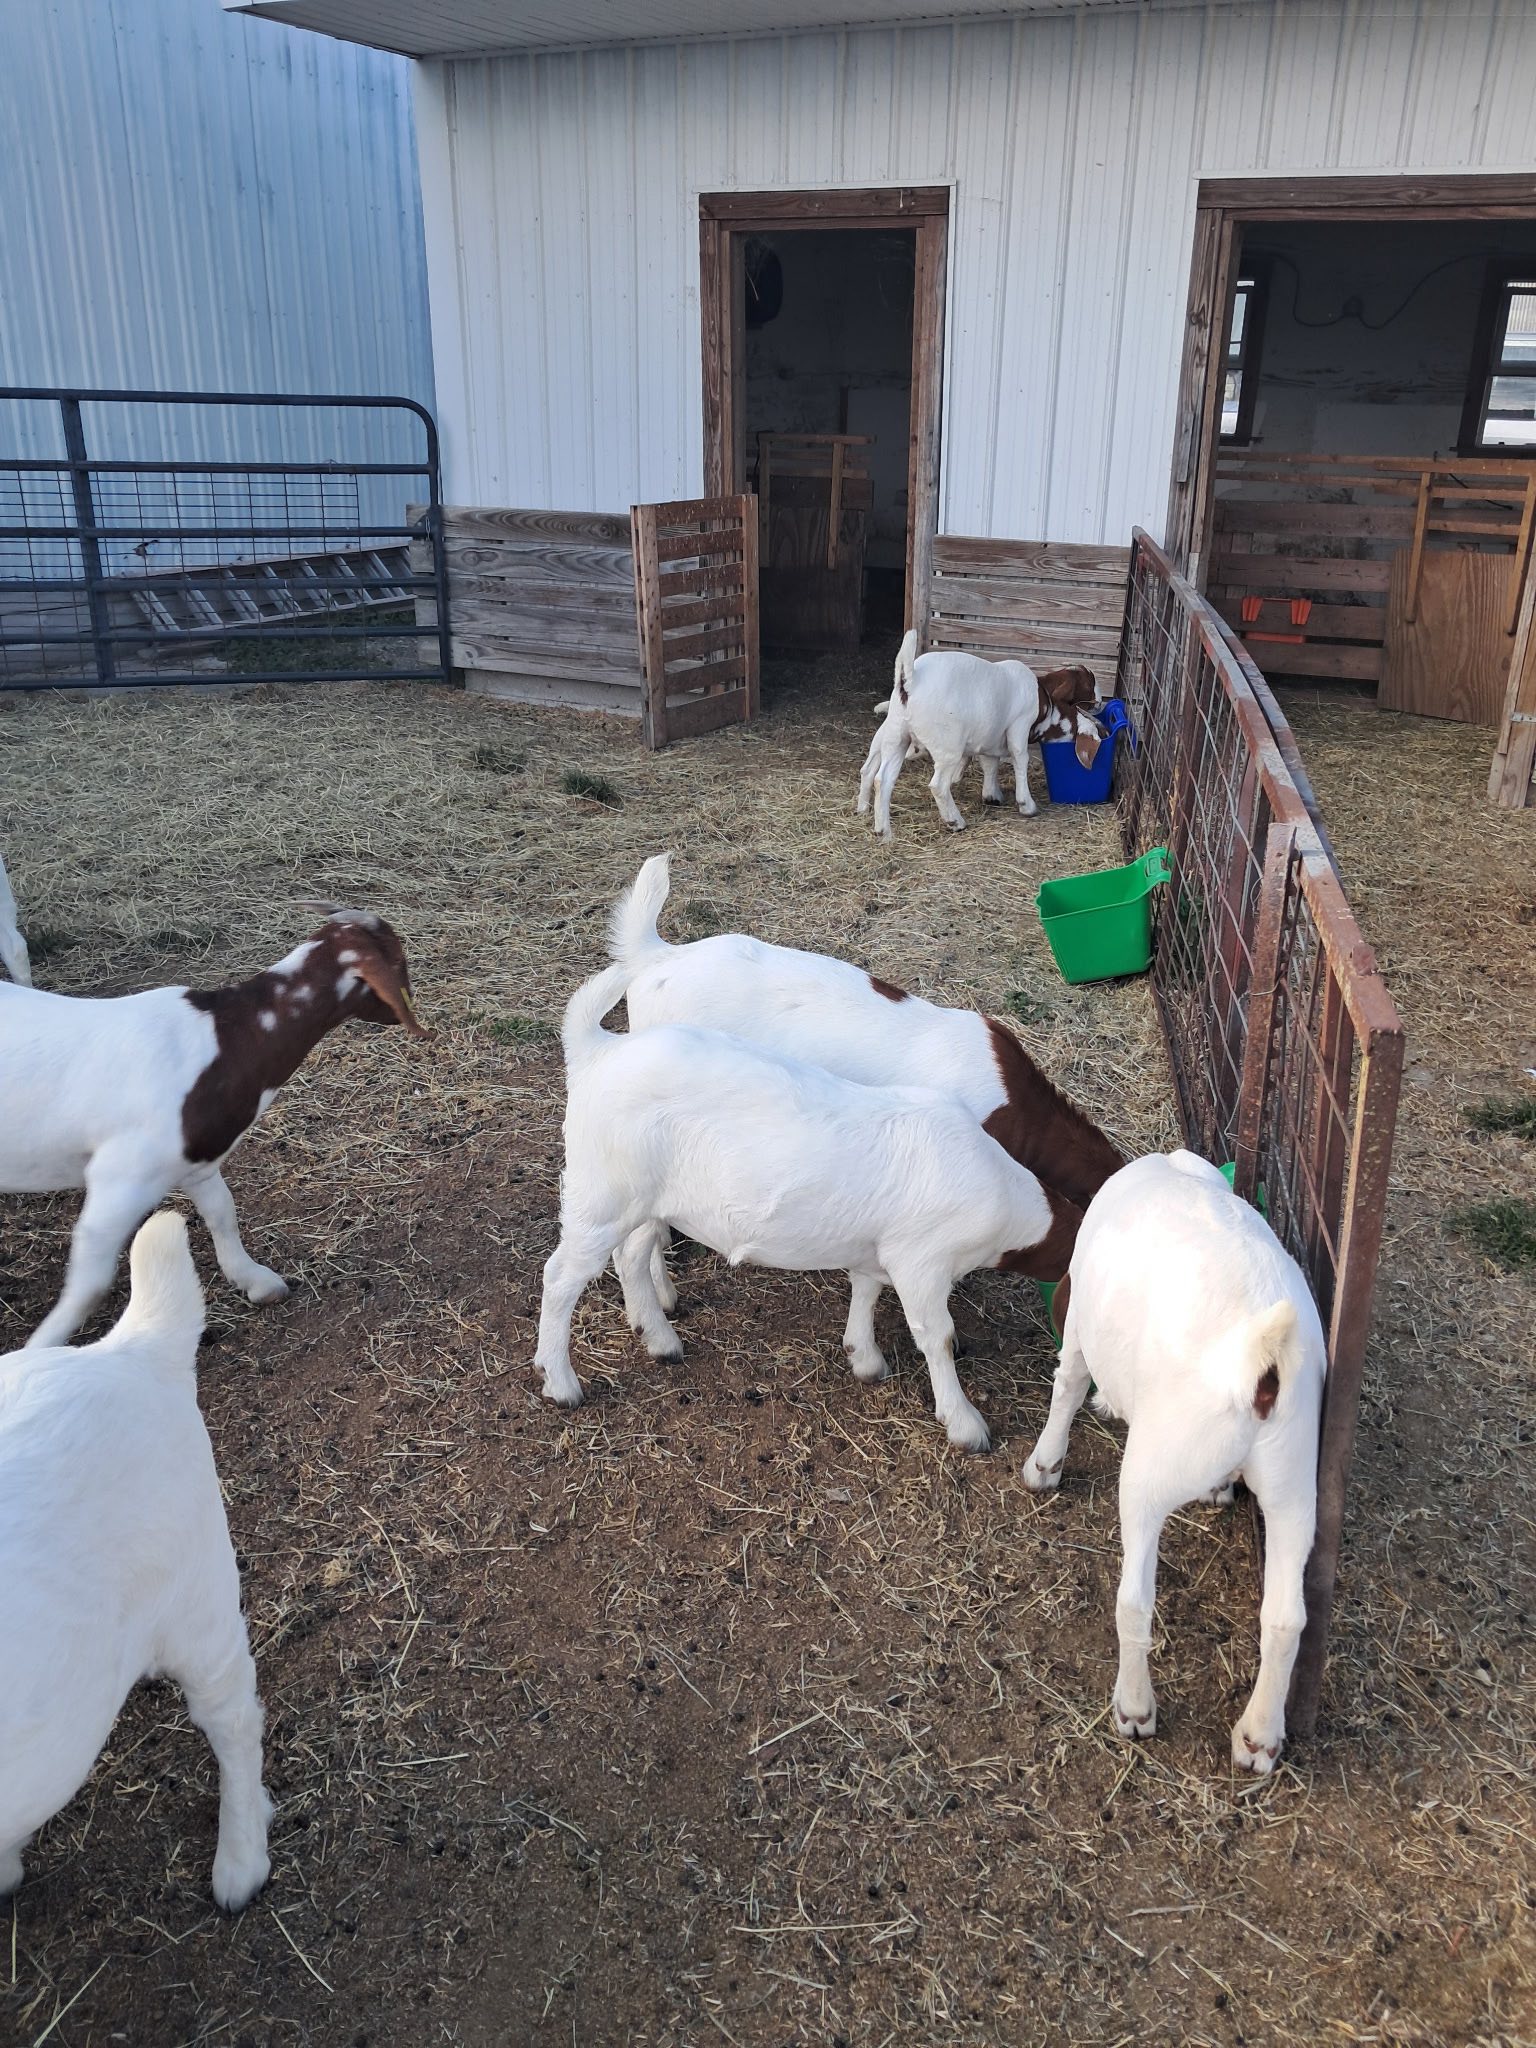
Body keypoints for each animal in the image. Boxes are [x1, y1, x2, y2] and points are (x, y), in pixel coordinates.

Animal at [0, 907, 425, 1350]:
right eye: (400, 960)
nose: (412, 1005)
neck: (227, 1039)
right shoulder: (123, 1174)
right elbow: (91, 1282)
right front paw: (39, 1351)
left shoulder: (196, 1160)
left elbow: (223, 1211)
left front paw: (255, 1280)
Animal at [534, 957, 1081, 1452]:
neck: (1005, 1193)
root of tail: (596, 1052)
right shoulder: (920, 1263)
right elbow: (937, 1336)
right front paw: (964, 1423)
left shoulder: (877, 1248)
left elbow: (865, 1289)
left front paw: (864, 1357)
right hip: (602, 1196)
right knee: (560, 1277)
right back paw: (561, 1382)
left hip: (645, 1201)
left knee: (629, 1255)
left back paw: (660, 1339)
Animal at [857, 630, 1103, 838]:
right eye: (1090, 682)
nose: (1101, 702)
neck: (1043, 698)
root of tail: (910, 679)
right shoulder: (1019, 726)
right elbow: (1019, 758)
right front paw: (1026, 805)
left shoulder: (990, 736)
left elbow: (990, 764)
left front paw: (992, 795)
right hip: (947, 746)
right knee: (938, 785)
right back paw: (955, 821)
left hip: (896, 735)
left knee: (881, 778)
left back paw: (882, 830)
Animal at [1021, 1151, 1326, 1772]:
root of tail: (1259, 1359)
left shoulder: (1080, 1321)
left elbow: (1068, 1384)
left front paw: (1044, 1467)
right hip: (1292, 1478)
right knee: (1286, 1617)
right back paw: (1259, 1737)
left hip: (1153, 1469)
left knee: (1135, 1600)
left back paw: (1134, 1708)